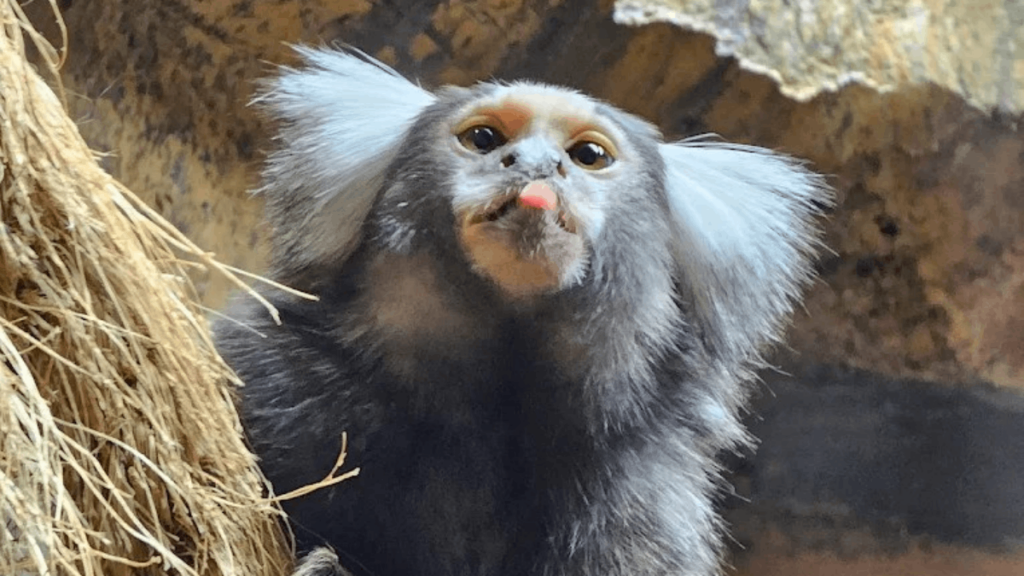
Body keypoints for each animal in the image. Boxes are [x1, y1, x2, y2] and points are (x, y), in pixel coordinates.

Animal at [213, 46, 832, 576]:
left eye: (587, 156)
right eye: (485, 138)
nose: (534, 165)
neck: (494, 410)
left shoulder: (645, 496)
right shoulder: (278, 378)